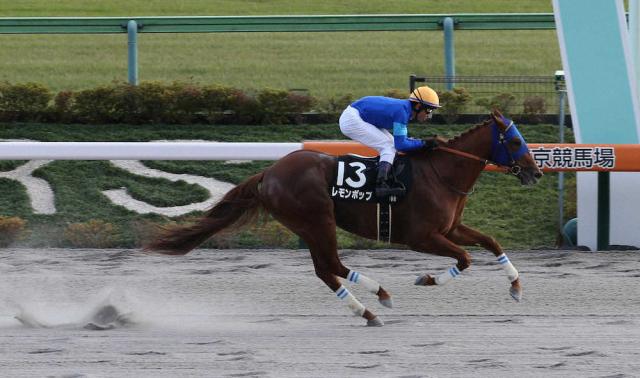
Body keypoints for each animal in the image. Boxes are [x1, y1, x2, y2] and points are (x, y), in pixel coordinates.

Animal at [148, 109, 544, 324]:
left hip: (309, 225)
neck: (441, 172)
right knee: (331, 266)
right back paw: (377, 298)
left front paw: (516, 287)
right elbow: (464, 259)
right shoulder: (421, 237)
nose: (535, 172)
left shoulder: (452, 227)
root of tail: (269, 173)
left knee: (326, 269)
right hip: (317, 220)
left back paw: (367, 309)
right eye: (513, 142)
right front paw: (427, 279)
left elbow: (491, 242)